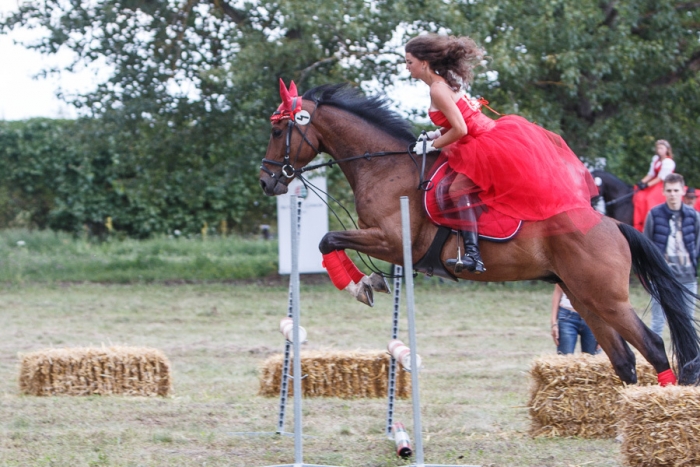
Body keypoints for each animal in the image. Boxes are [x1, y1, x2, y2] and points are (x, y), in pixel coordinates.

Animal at [258, 83, 700, 388]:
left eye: (279, 132)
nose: (266, 181)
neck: (384, 167)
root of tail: (613, 225)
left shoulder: (392, 240)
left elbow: (328, 239)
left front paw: (362, 285)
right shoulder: (387, 243)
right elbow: (330, 241)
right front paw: (367, 281)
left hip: (606, 298)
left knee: (653, 347)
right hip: (584, 297)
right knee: (624, 360)